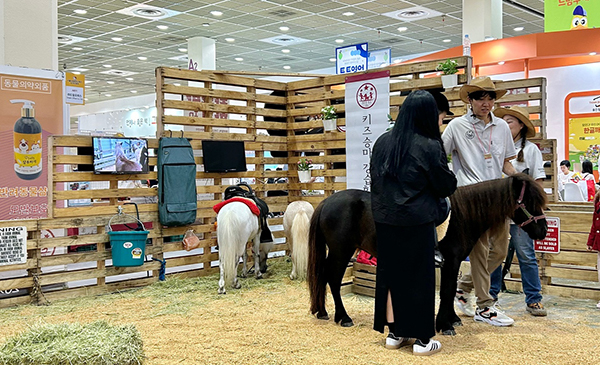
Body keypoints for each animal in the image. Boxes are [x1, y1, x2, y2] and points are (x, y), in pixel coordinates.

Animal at [310, 172, 548, 334]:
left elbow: (450, 290)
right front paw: (444, 325)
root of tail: (327, 201)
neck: (462, 215)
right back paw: (343, 317)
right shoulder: (450, 261)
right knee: (332, 279)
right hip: (342, 251)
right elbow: (446, 292)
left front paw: (452, 319)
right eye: (528, 201)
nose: (543, 230)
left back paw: (322, 312)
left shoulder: (453, 263)